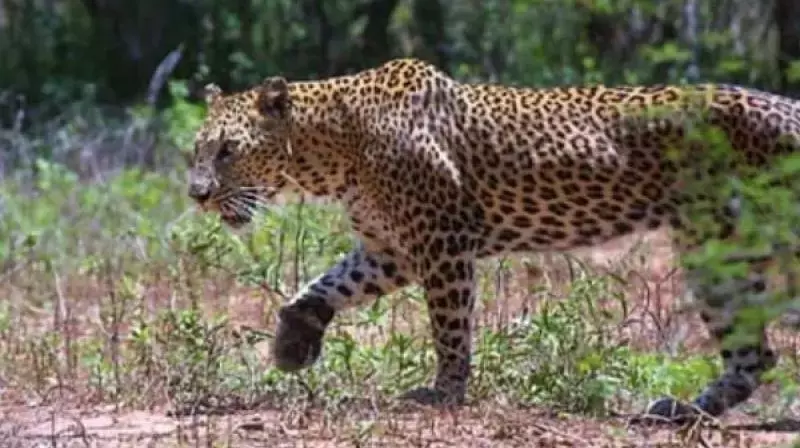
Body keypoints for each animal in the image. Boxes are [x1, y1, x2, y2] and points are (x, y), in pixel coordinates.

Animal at [186, 57, 800, 423]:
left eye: (228, 150)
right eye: (197, 148)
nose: (196, 194)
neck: (333, 148)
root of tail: (786, 106)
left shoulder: (442, 242)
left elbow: (450, 328)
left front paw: (445, 392)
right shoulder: (391, 250)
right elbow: (325, 284)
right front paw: (294, 342)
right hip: (715, 251)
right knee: (754, 355)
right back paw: (678, 412)